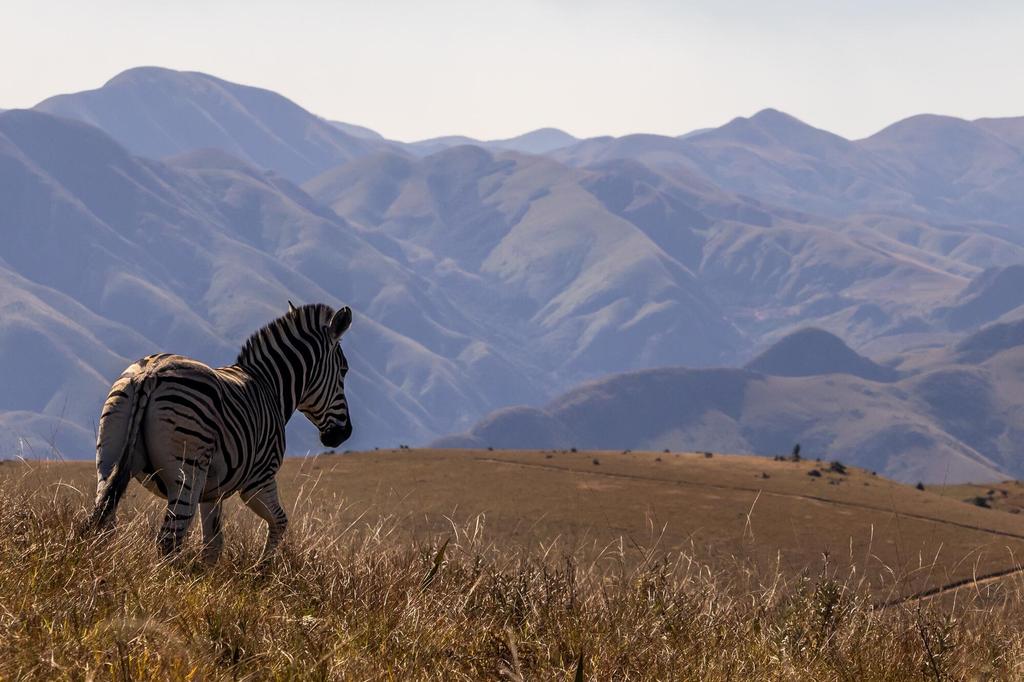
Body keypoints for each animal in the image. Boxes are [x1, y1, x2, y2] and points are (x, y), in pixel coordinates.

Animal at [86, 302, 353, 563]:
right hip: (188, 472)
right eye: (344, 371)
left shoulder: (212, 494)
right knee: (169, 541)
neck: (270, 387)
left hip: (109, 457)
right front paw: (262, 570)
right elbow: (279, 522)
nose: (344, 434)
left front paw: (209, 577)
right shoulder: (259, 479)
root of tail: (150, 374)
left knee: (103, 522)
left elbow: (213, 547)